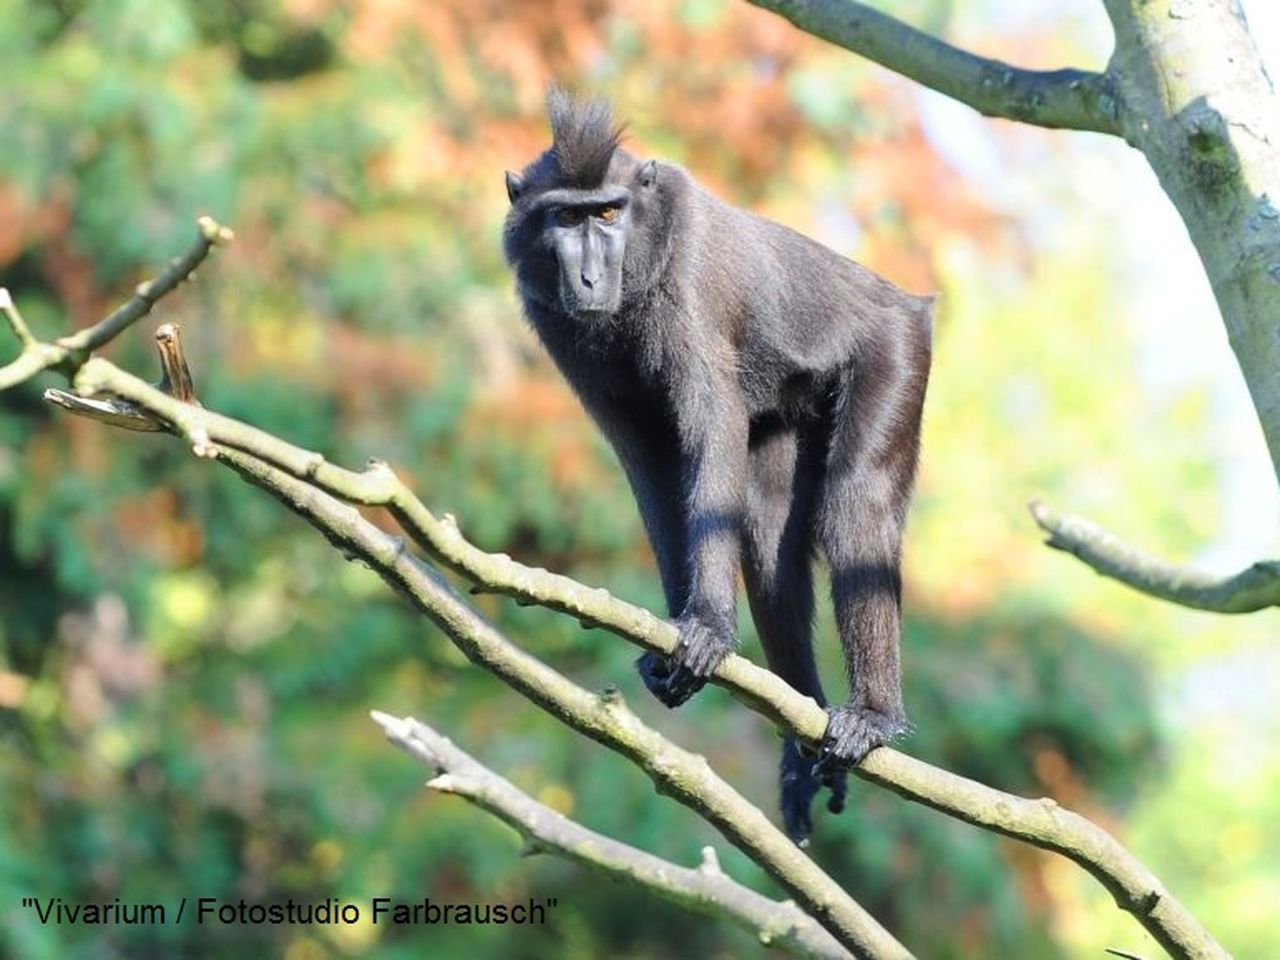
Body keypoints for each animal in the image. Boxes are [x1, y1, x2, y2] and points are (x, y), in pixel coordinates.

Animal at [499, 90, 931, 839]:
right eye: (565, 217)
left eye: (607, 213)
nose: (588, 277)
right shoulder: (555, 326)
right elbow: (650, 463)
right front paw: (676, 640)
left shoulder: (688, 281)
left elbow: (711, 424)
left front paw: (704, 626)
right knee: (767, 539)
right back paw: (799, 749)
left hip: (898, 351)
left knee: (856, 506)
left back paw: (872, 718)